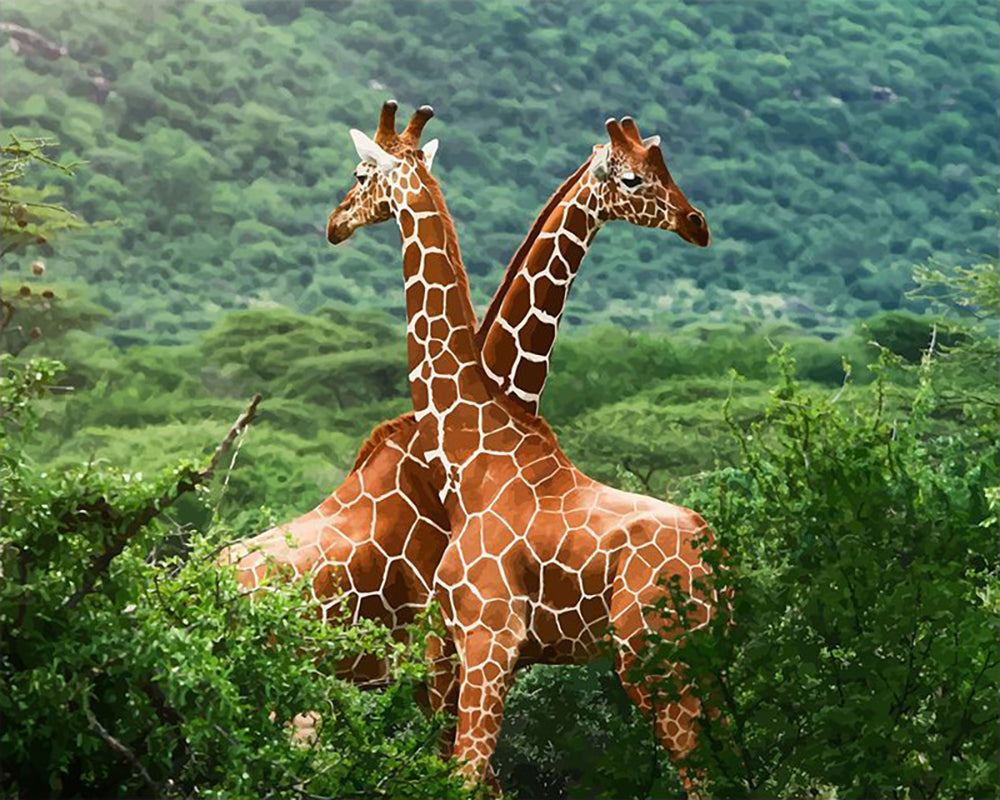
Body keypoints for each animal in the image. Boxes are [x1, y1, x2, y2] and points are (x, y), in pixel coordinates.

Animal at [323, 103, 719, 793]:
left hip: (656, 658)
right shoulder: (458, 647)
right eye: (636, 178)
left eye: (359, 173)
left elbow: (466, 778)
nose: (335, 222)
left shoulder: (487, 639)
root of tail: (714, 556)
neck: (473, 446)